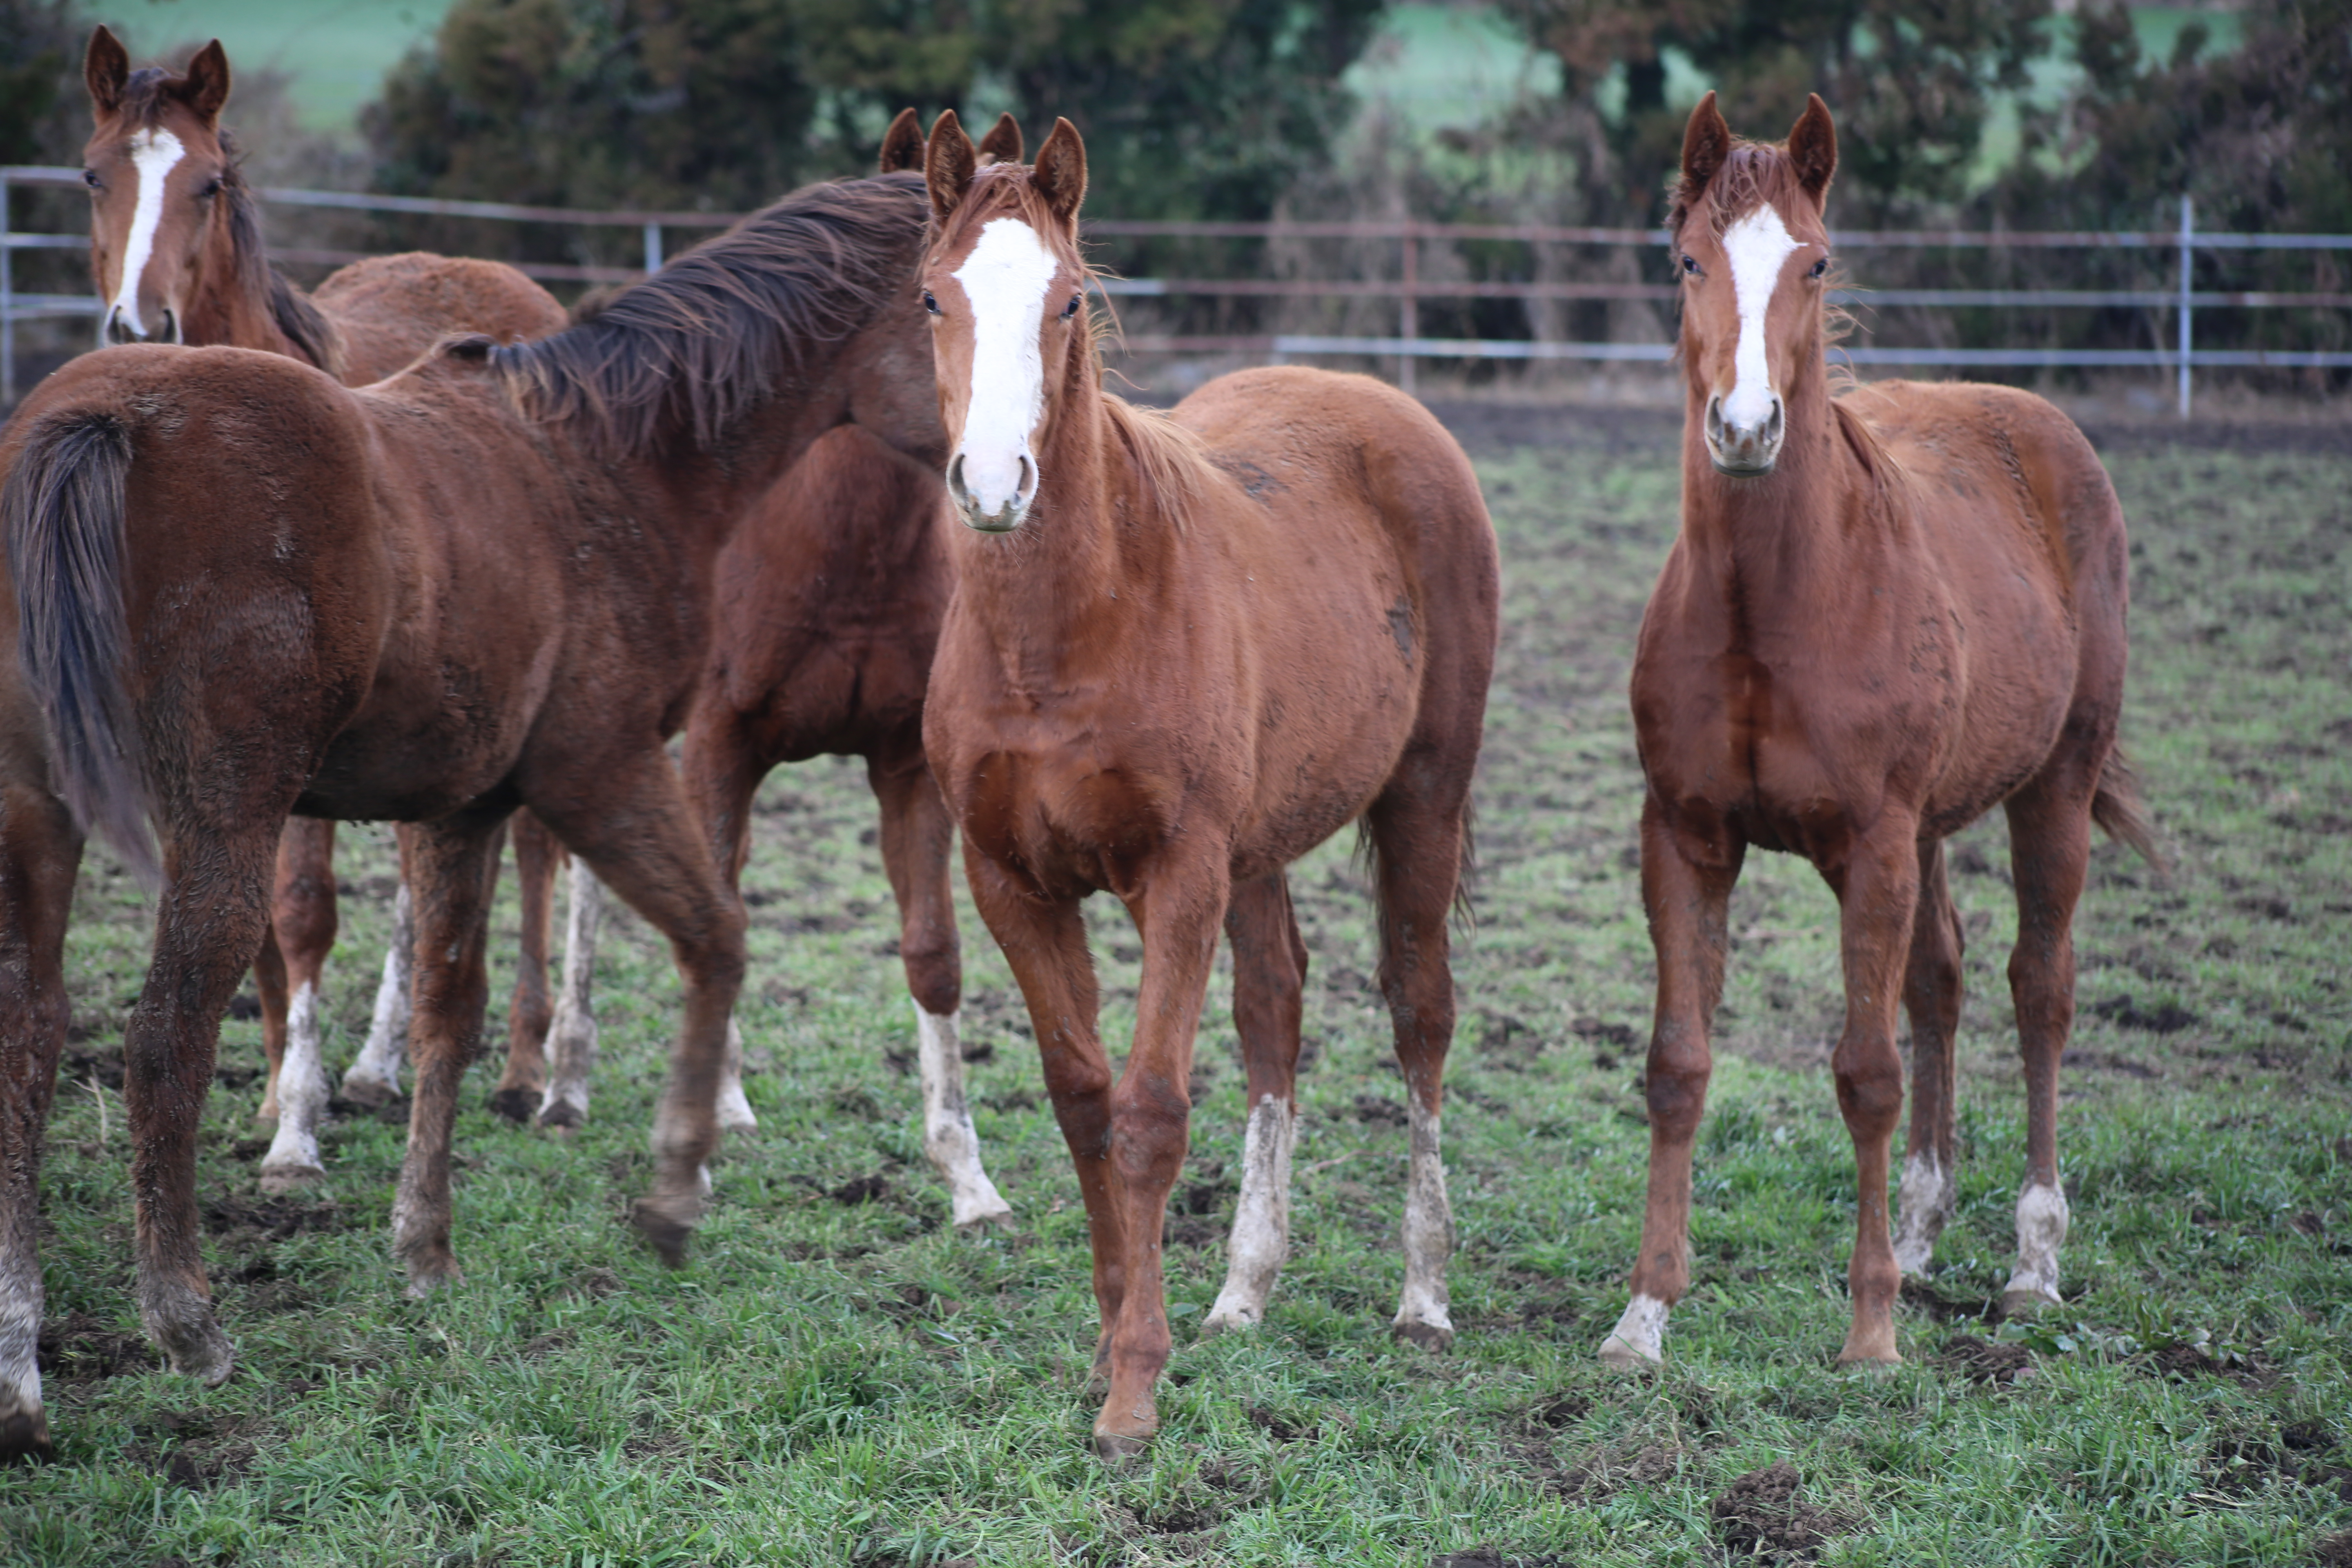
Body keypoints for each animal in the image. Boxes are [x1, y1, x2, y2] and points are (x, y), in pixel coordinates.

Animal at [2, 169, 936, 1457]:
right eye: (961, 298)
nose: (1037, 466)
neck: (612, 460)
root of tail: (97, 421)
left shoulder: (463, 809)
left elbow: (452, 1008)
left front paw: (425, 1248)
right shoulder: (605, 770)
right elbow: (717, 939)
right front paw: (674, 1187)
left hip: (40, 817)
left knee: (31, 1033)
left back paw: (21, 1367)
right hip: (225, 822)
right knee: (163, 1038)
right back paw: (185, 1319)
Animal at [78, 27, 574, 1189]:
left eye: (209, 183)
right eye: (92, 175)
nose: (140, 325)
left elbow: (301, 912)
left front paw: (296, 1132)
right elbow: (251, 922)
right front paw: (274, 1093)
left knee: (541, 857)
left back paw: (535, 1071)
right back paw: (382, 1064)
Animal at [912, 113, 1486, 1457]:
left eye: (1068, 299)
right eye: (931, 297)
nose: (994, 484)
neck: (1061, 638)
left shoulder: (1175, 874)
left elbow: (1151, 1111)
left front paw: (1133, 1389)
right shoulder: (1012, 880)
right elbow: (1082, 1101)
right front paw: (1112, 1337)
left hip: (1421, 800)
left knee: (1420, 1016)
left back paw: (1422, 1297)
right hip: (1259, 849)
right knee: (1275, 1009)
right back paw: (1242, 1290)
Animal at [1608, 95, 2154, 1373]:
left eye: (1813, 263)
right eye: (1687, 260)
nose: (1744, 426)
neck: (1773, 604)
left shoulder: (1868, 842)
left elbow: (1864, 1071)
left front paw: (1869, 1333)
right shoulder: (1686, 837)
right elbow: (1678, 1063)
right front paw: (1645, 1314)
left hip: (2050, 788)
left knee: (2037, 987)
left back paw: (2029, 1264)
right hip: (1930, 829)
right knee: (1941, 980)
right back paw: (1917, 1236)